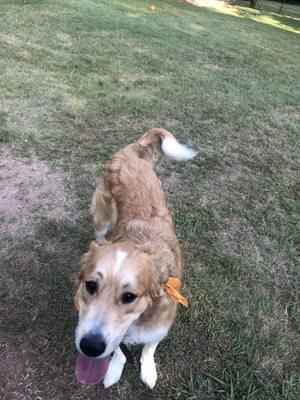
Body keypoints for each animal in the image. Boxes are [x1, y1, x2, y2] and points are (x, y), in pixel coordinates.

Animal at [74, 128, 197, 388]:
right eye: (90, 285)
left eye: (129, 296)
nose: (90, 347)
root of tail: (131, 152)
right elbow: (119, 351)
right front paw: (114, 370)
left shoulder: (160, 325)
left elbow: (149, 348)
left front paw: (148, 369)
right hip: (103, 217)